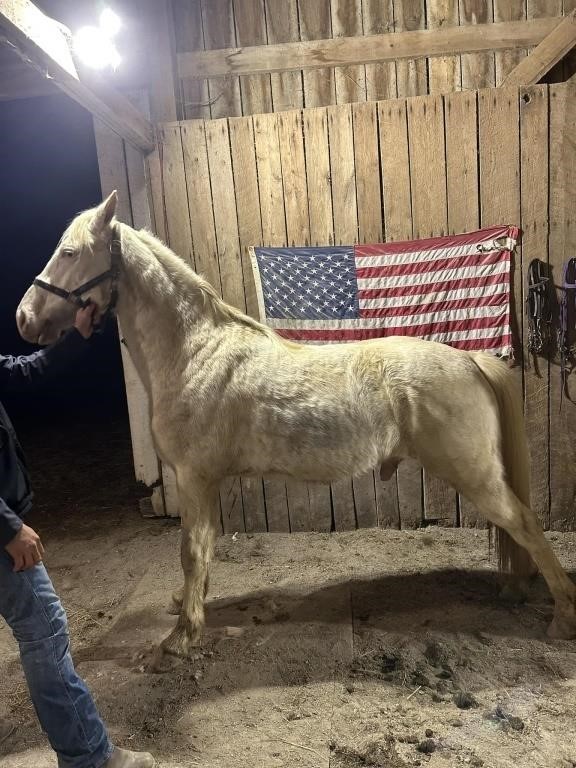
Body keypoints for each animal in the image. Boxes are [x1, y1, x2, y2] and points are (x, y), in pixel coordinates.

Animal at [18, 192, 576, 656]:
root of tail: (468, 360)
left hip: (474, 473)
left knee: (525, 524)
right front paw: (187, 604)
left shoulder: (193, 477)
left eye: (69, 253)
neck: (194, 351)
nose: (25, 319)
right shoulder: (205, 481)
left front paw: (180, 638)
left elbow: (191, 550)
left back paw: (562, 616)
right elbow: (203, 547)